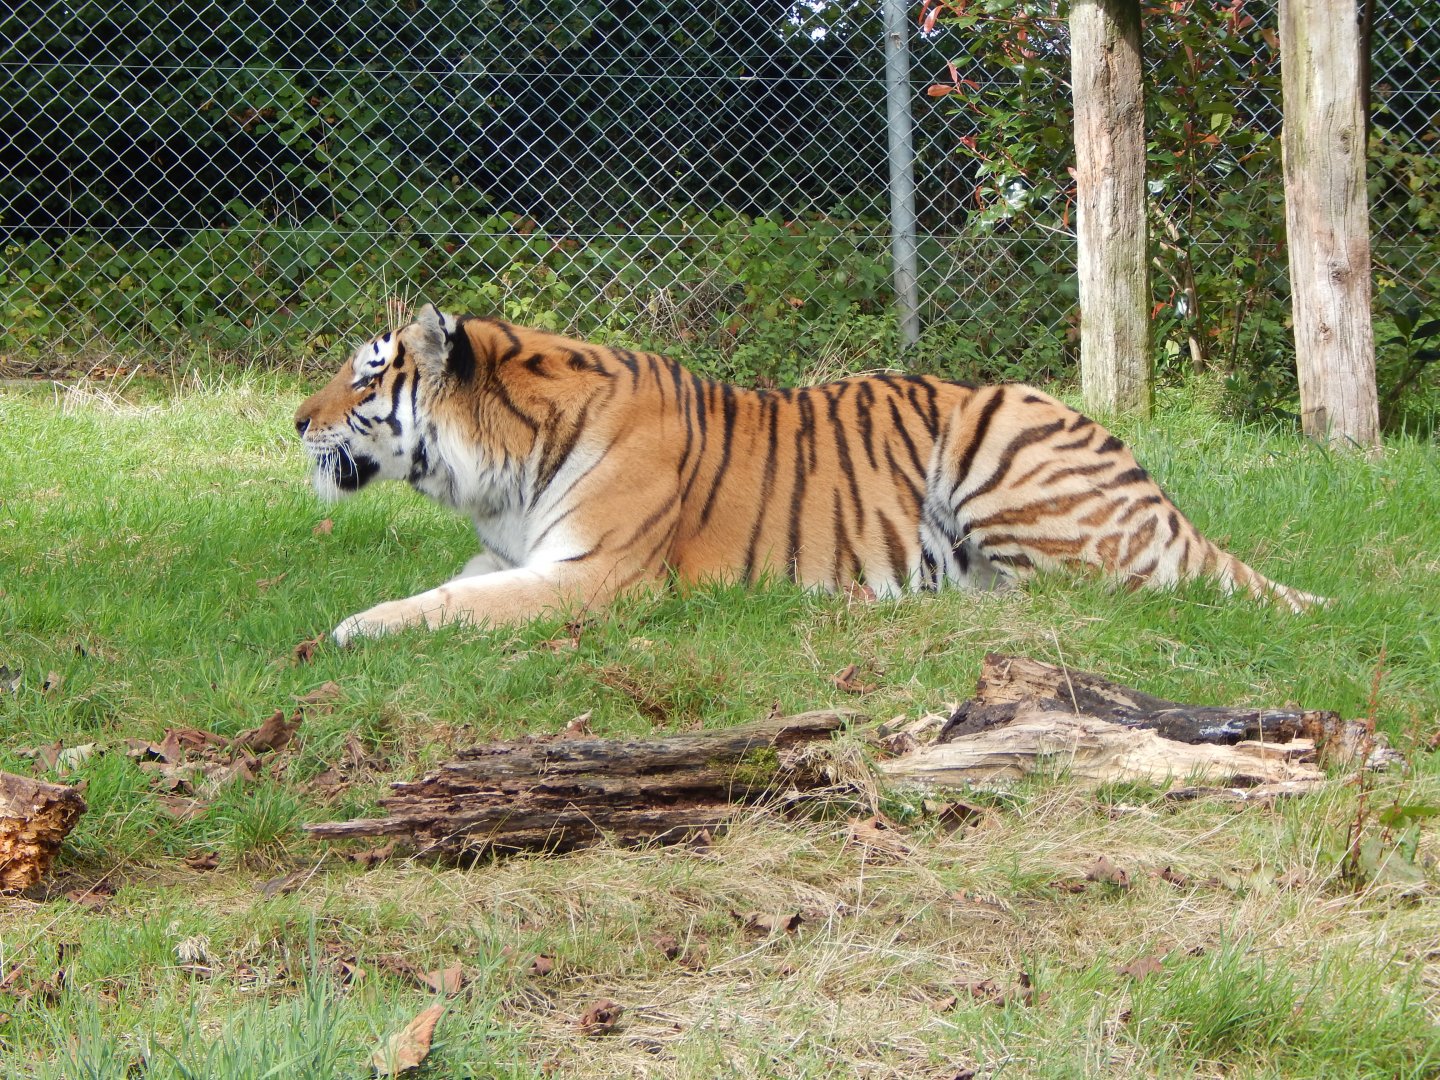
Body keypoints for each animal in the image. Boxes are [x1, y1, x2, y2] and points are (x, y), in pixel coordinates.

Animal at [294, 304, 1324, 645]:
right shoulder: (511, 554)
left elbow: (451, 604)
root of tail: (1161, 498)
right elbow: (448, 583)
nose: (293, 421)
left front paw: (350, 628)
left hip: (999, 439)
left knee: (1088, 596)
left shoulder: (595, 577)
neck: (496, 472)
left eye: (365, 375)